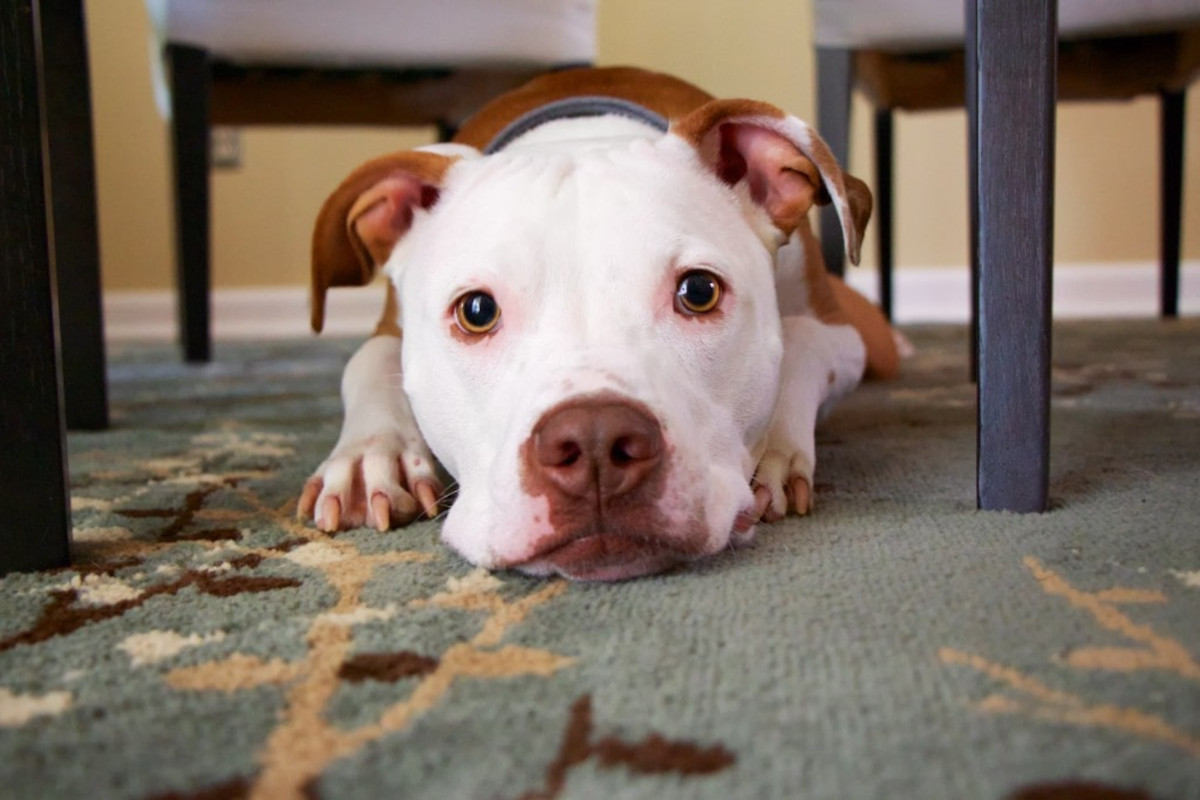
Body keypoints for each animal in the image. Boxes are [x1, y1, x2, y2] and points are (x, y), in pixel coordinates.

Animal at [297, 67, 902, 582]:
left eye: (699, 291)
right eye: (476, 311)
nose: (594, 442)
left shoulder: (842, 334)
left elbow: (800, 340)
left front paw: (773, 448)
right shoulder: (389, 329)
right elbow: (366, 360)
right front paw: (371, 457)